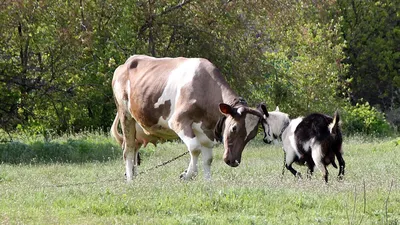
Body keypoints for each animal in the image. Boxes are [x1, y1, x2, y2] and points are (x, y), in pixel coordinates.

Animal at [110, 54, 266, 181]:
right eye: (234, 128)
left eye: (251, 136)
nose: (233, 161)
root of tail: (125, 64)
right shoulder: (178, 121)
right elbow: (195, 148)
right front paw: (188, 174)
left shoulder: (206, 131)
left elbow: (208, 158)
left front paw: (208, 182)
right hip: (125, 115)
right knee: (128, 149)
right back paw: (130, 180)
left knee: (134, 148)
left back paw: (132, 174)